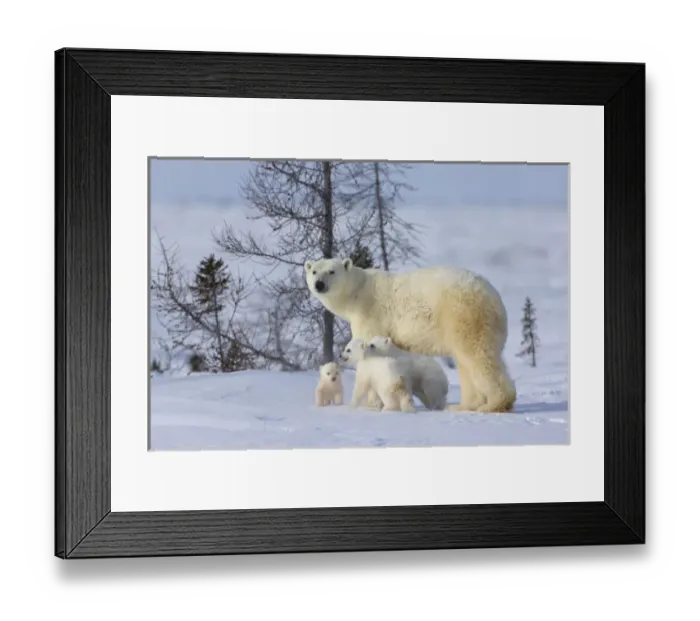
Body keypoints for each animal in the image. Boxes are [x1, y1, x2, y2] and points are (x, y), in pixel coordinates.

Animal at [304, 257, 516, 413]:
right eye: (314, 271)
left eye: (331, 271)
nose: (319, 284)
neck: (358, 292)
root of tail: (495, 297)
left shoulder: (370, 314)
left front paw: (370, 403)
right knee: (465, 362)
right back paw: (464, 405)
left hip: (463, 314)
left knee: (477, 357)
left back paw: (493, 404)